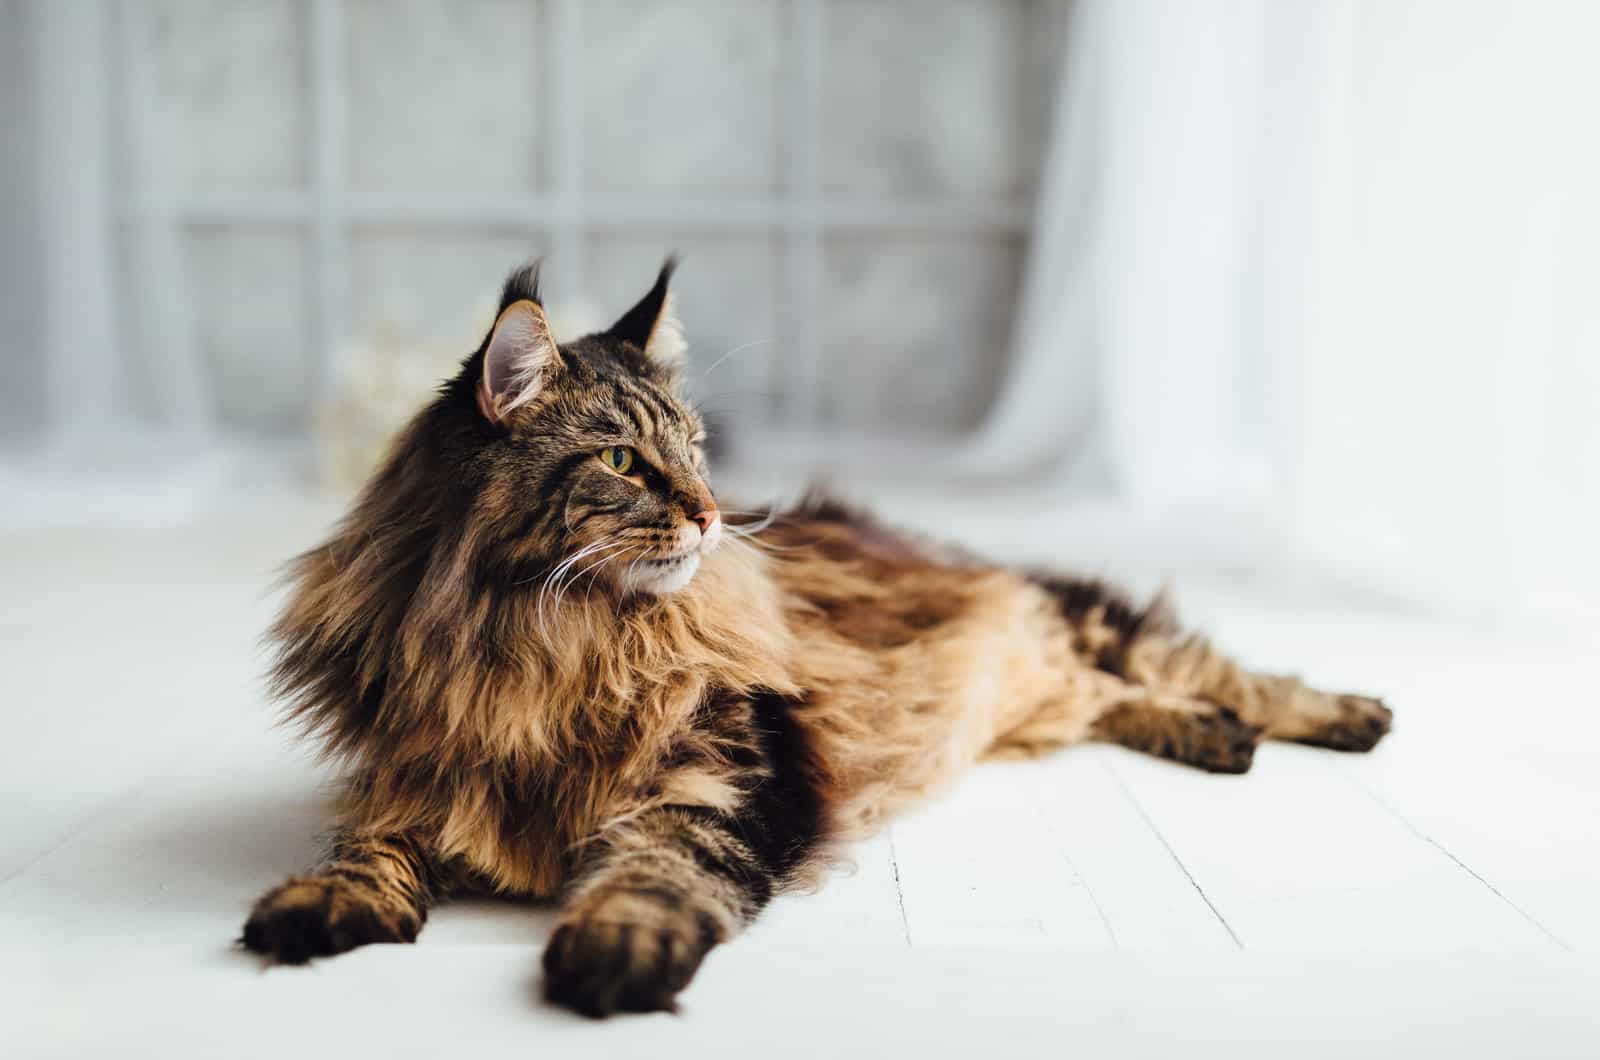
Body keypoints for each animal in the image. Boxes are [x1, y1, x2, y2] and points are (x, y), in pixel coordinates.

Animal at [243, 259, 1395, 1024]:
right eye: (622, 460)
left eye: (695, 448)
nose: (712, 513)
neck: (540, 644)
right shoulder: (421, 777)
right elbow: (367, 853)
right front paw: (317, 905)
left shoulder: (730, 775)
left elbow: (660, 872)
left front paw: (618, 951)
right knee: (1114, 701)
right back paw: (1214, 738)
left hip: (1082, 616)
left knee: (1218, 669)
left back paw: (1346, 715)